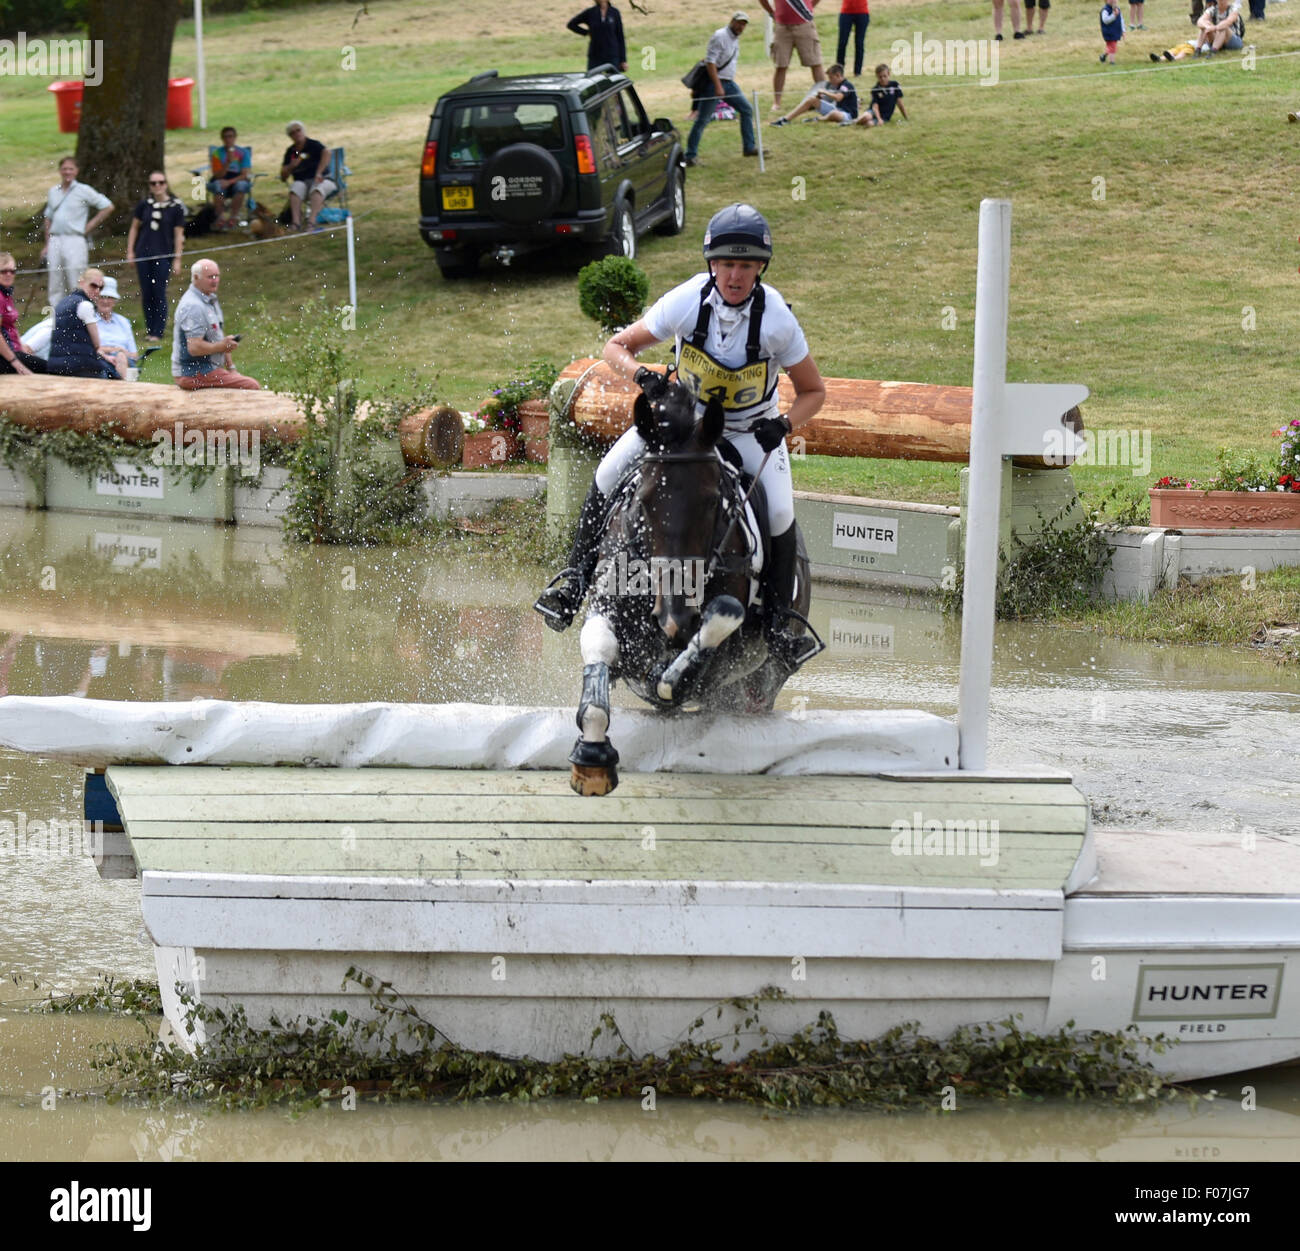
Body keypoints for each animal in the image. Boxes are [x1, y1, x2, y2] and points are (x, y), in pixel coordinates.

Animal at [566, 374, 821, 795]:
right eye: (643, 501)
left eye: (712, 502)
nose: (675, 618)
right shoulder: (607, 604)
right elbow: (600, 652)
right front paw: (592, 758)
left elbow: (720, 619)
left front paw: (669, 678)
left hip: (762, 679)